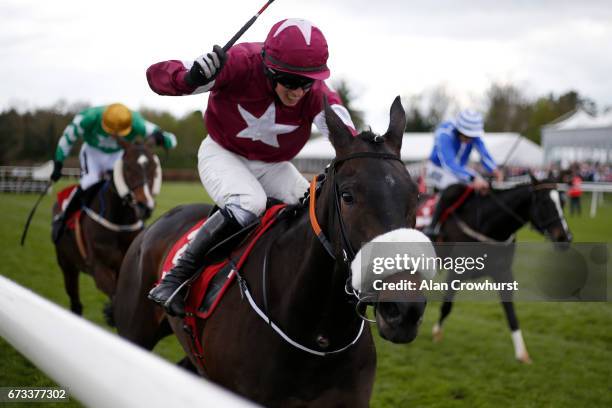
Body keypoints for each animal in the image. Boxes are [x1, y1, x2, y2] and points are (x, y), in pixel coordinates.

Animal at [53, 139, 161, 318]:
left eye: (153, 166)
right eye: (128, 167)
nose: (144, 206)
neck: (119, 224)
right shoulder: (99, 268)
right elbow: (116, 297)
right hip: (67, 265)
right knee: (75, 303)